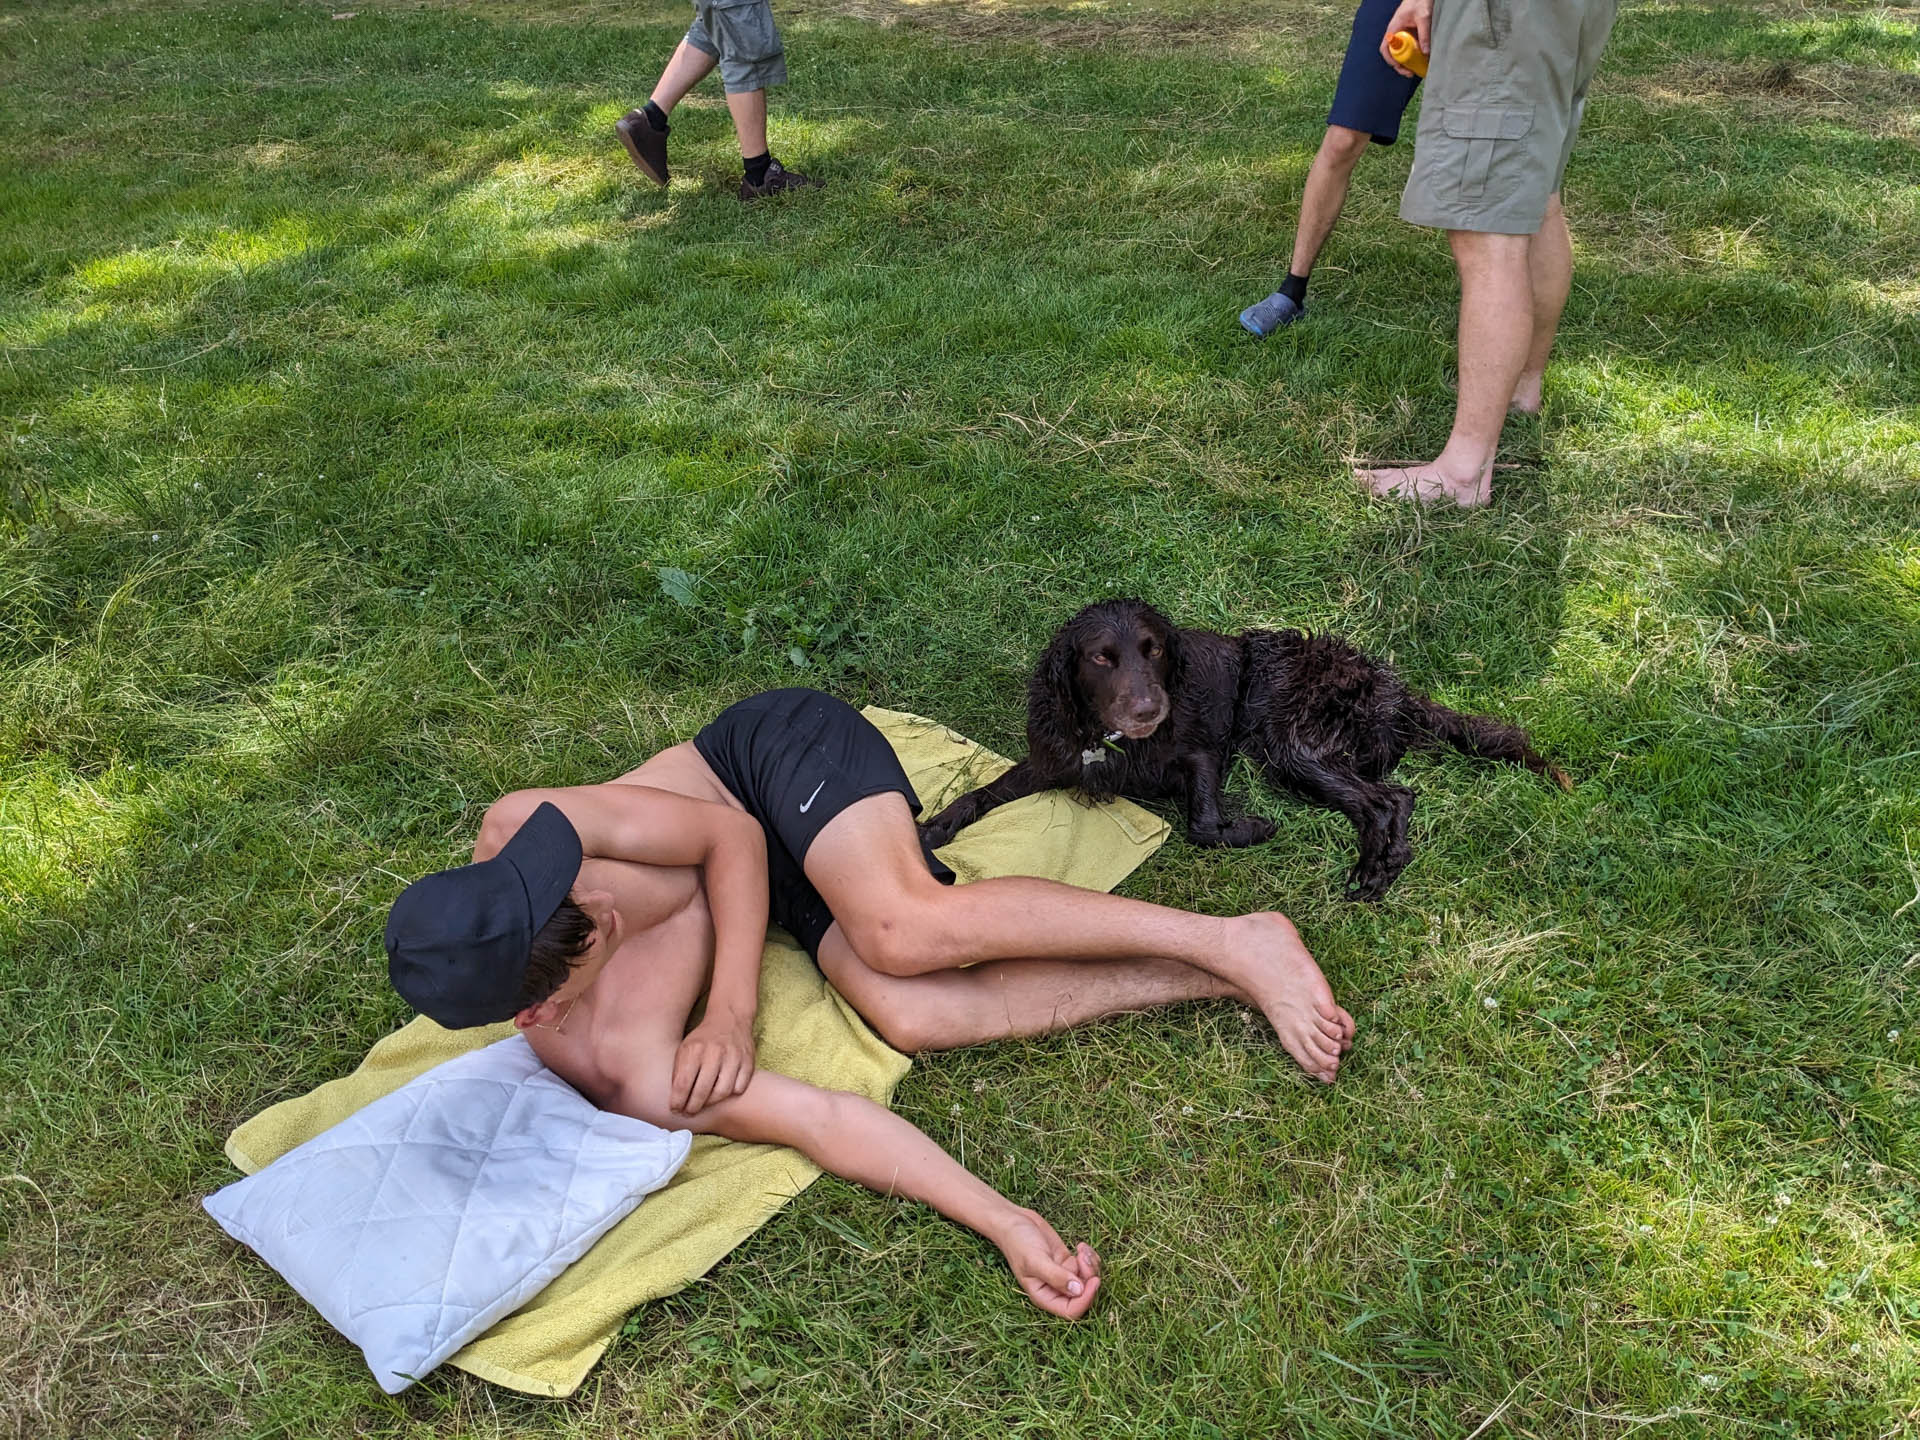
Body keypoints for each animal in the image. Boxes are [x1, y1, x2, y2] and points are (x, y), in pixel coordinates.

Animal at [919, 599, 1572, 900]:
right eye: (1102, 657)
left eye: (1155, 650)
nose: (1150, 709)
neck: (1111, 742)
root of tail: (1393, 689)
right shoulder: (1050, 760)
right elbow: (980, 794)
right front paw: (932, 828)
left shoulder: (1204, 755)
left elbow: (1202, 824)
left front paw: (1253, 829)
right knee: (1392, 797)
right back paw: (1383, 863)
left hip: (1290, 742)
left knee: (1387, 799)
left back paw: (1373, 869)